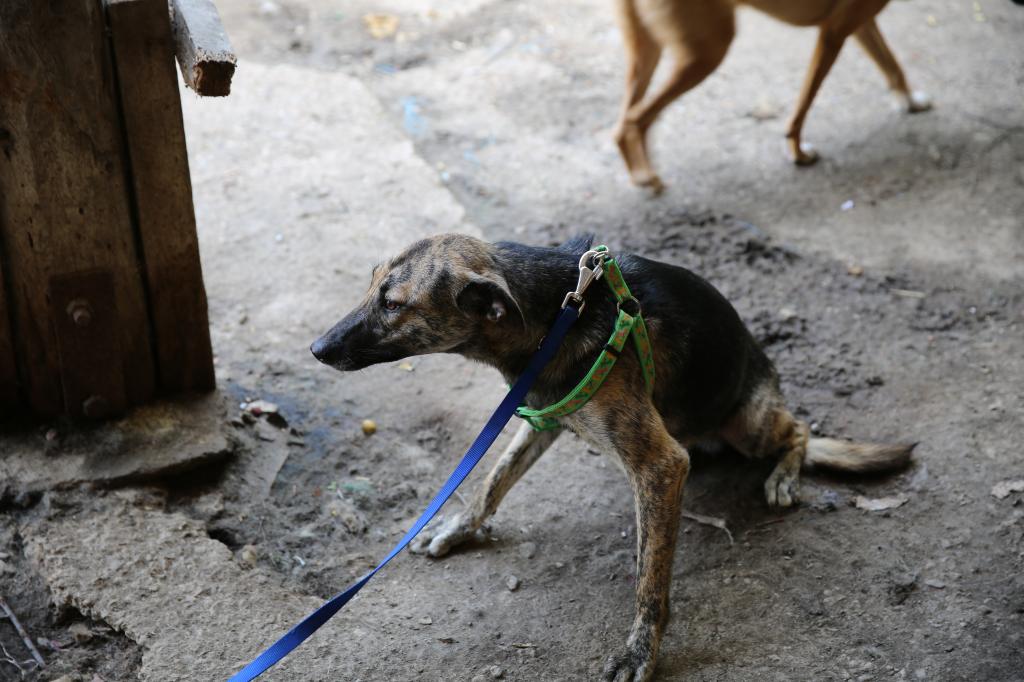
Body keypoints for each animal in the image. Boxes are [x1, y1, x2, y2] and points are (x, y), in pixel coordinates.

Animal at [309, 232, 913, 675]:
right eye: (370, 286)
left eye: (394, 304)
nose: (316, 348)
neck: (555, 316)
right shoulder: (544, 416)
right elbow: (493, 479)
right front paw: (459, 527)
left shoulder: (660, 466)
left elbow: (651, 580)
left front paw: (639, 651)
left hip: (748, 423)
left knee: (799, 429)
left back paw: (785, 475)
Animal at [610, 0, 933, 189]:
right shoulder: (833, 32)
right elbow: (803, 105)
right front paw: (797, 153)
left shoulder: (858, 23)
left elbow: (892, 65)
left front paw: (909, 102)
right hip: (707, 53)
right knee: (636, 118)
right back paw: (645, 176)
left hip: (647, 51)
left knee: (623, 123)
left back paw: (638, 172)